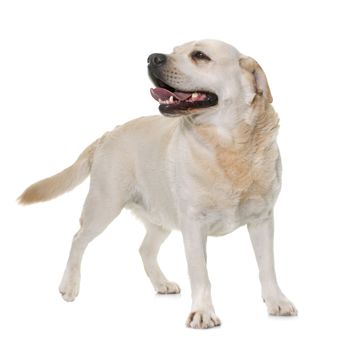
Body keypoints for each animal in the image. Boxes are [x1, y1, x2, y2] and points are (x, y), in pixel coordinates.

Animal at [19, 40, 296, 328]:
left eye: (199, 55)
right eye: (174, 50)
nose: (153, 58)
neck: (228, 146)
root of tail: (108, 134)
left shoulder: (262, 219)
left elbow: (267, 267)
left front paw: (277, 301)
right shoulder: (193, 225)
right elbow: (200, 273)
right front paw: (203, 312)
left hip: (161, 216)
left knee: (144, 249)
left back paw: (161, 283)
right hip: (104, 206)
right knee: (77, 239)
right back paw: (69, 285)